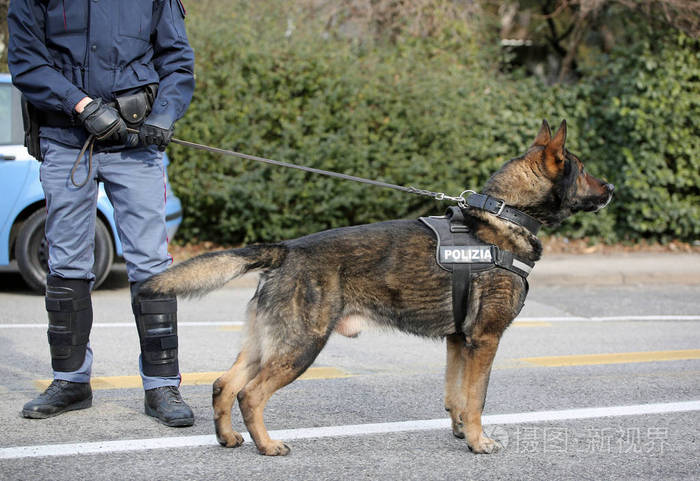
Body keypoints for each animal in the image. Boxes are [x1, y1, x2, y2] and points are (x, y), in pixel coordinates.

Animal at [142, 119, 612, 454]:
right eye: (584, 170)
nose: (611, 188)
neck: (505, 214)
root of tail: (286, 249)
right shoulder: (484, 339)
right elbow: (476, 398)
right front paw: (480, 442)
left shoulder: (458, 342)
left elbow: (456, 396)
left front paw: (462, 432)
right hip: (302, 346)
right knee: (251, 394)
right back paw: (267, 445)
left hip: (267, 343)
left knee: (225, 384)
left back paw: (228, 438)